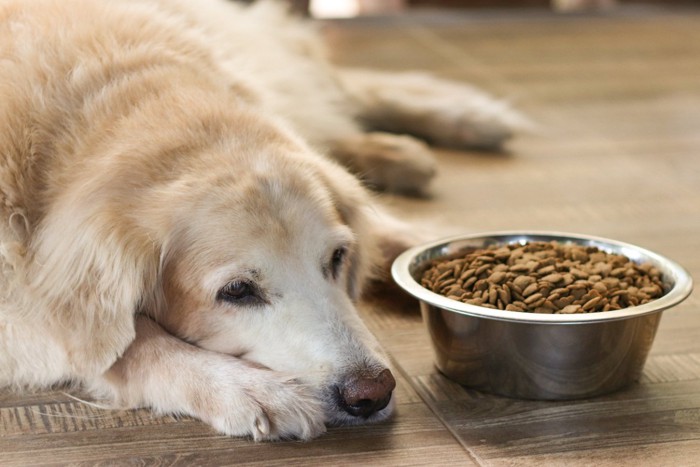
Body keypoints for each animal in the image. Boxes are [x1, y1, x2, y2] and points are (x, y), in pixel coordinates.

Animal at [0, 0, 524, 440]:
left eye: (338, 257)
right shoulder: (24, 308)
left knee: (333, 89)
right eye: (236, 291)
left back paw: (461, 121)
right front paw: (247, 389)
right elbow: (128, 343)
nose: (371, 394)